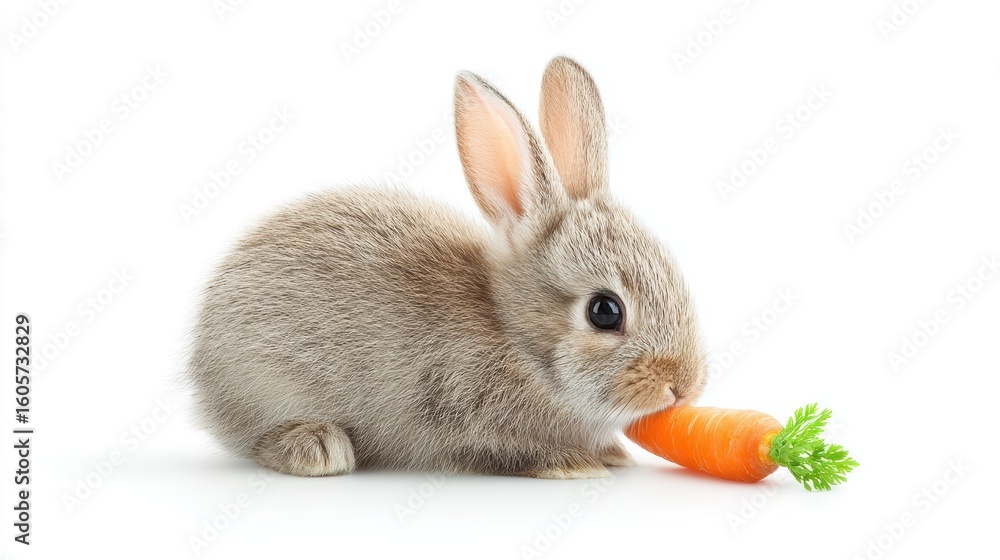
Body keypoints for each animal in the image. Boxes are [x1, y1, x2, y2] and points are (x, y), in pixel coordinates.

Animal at [188, 56, 707, 479]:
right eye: (605, 311)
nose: (682, 387)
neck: (512, 336)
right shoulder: (463, 411)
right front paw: (573, 465)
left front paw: (614, 454)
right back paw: (317, 447)